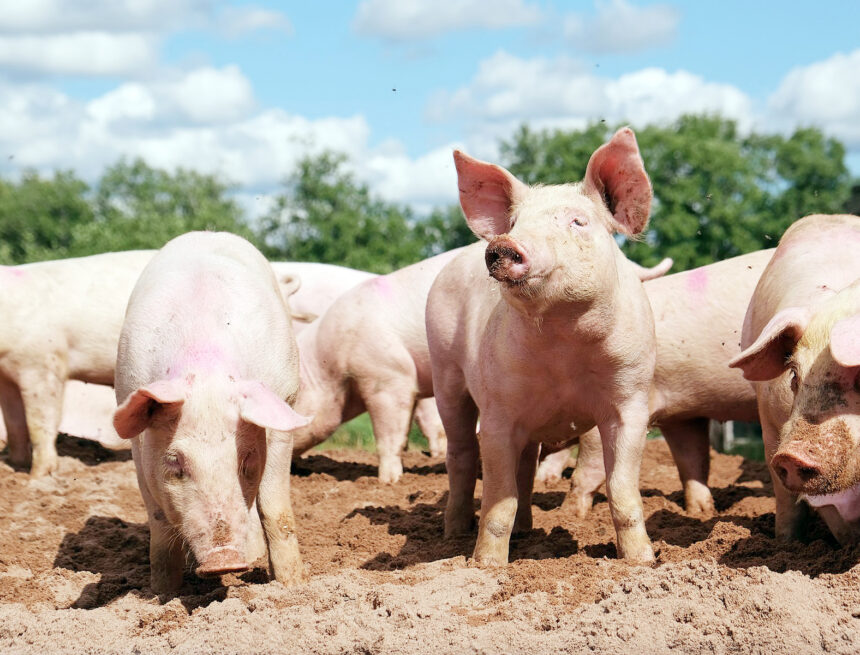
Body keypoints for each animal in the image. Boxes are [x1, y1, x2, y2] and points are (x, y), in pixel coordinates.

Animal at [0, 251, 154, 476]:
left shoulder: (44, 362)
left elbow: (39, 423)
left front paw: (37, 476)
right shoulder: (6, 376)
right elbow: (14, 424)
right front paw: (16, 466)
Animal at [113, 232, 310, 593]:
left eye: (245, 460)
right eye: (175, 461)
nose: (224, 560)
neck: (205, 365)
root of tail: (208, 232)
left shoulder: (282, 406)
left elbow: (275, 509)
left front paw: (291, 585)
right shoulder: (136, 434)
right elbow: (159, 523)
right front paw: (161, 594)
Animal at [426, 128, 657, 565]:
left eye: (578, 221)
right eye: (516, 222)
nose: (503, 244)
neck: (563, 344)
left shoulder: (631, 401)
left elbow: (621, 491)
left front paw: (642, 562)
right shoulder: (498, 410)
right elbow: (498, 499)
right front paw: (486, 565)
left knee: (526, 468)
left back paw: (526, 531)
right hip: (445, 374)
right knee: (461, 455)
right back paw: (452, 536)